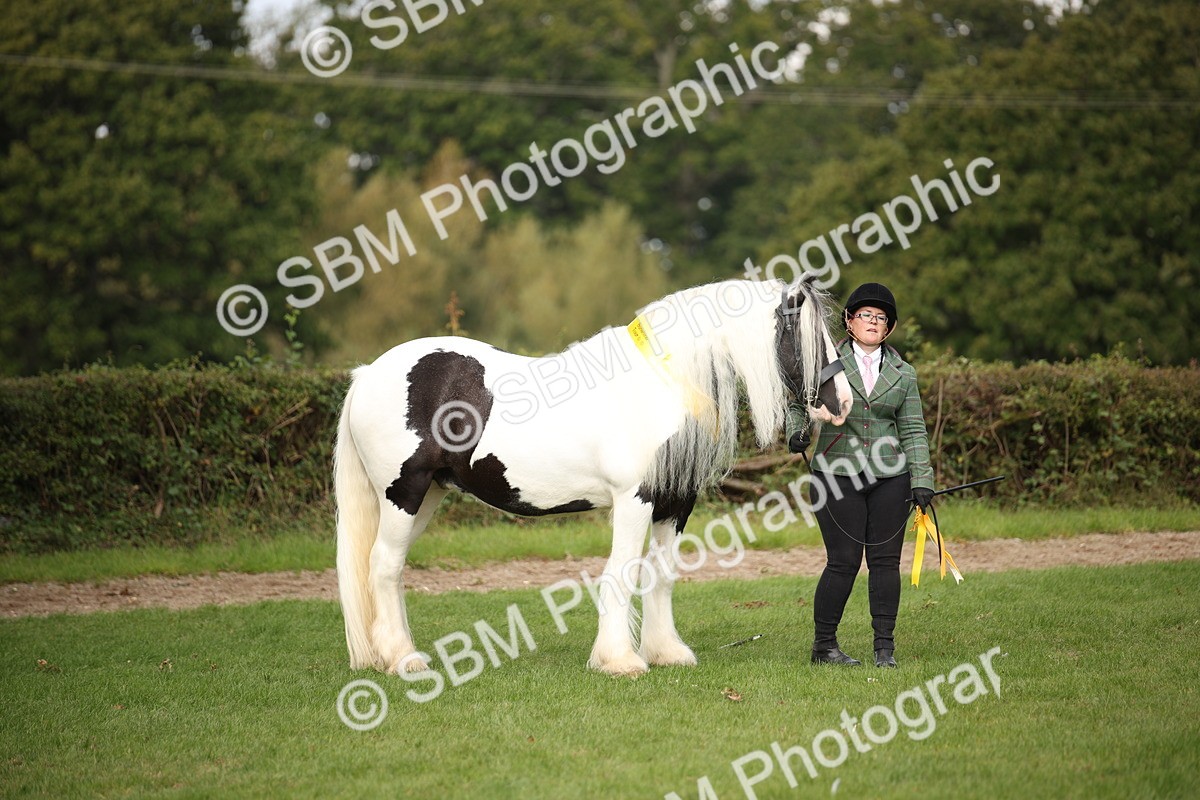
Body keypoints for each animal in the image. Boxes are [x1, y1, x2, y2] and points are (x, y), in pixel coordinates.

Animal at [333, 276, 853, 677]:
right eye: (807, 337)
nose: (843, 403)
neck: (659, 384)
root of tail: (368, 373)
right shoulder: (634, 500)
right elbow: (622, 573)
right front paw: (620, 660)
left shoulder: (675, 504)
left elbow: (662, 575)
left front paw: (666, 653)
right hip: (404, 492)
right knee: (384, 566)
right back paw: (403, 660)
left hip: (427, 496)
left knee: (391, 568)